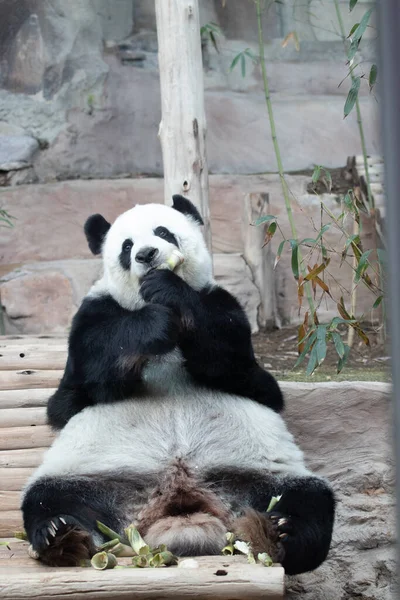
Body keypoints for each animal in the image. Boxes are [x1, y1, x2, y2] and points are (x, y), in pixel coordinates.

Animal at [21, 195, 334, 576]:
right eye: (126, 246)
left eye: (163, 231)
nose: (147, 255)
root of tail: (179, 499)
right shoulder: (90, 317)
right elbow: (82, 384)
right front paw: (153, 324)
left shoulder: (224, 308)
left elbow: (235, 364)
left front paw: (169, 291)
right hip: (93, 476)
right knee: (49, 498)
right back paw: (61, 535)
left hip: (257, 475)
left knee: (308, 500)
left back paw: (281, 533)